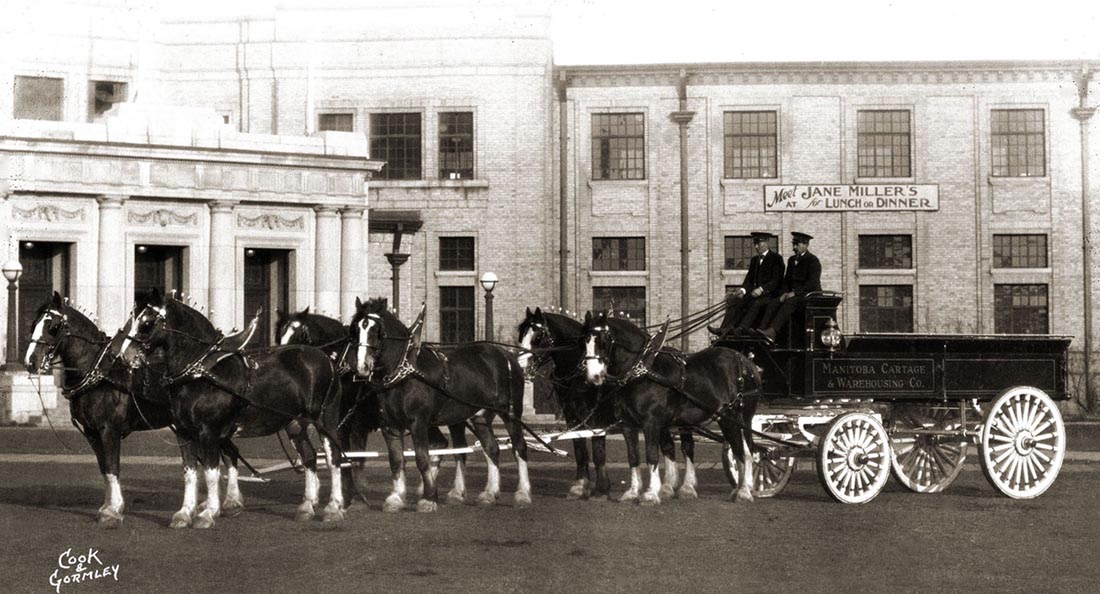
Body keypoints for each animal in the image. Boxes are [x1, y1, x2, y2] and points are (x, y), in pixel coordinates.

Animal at [118, 290, 345, 525]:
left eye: (147, 322)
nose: (125, 355)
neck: (201, 373)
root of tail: (324, 357)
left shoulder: (209, 432)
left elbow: (211, 472)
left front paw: (208, 512)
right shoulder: (184, 432)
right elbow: (190, 473)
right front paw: (185, 512)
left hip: (325, 418)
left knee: (333, 458)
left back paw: (333, 507)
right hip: (294, 423)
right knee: (309, 457)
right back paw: (307, 506)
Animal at [347, 299, 528, 512]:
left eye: (377, 331)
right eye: (355, 330)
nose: (362, 367)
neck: (405, 373)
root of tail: (507, 355)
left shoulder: (418, 423)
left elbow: (422, 458)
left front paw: (428, 498)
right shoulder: (389, 425)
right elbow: (396, 460)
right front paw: (396, 498)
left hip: (510, 412)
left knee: (519, 446)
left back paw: (523, 494)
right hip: (480, 416)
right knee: (491, 448)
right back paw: (489, 494)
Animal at [580, 312, 761, 503]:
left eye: (604, 339)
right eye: (585, 340)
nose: (593, 376)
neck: (643, 370)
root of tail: (746, 361)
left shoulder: (651, 422)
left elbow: (652, 455)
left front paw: (651, 493)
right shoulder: (628, 425)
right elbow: (634, 457)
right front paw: (633, 492)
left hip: (734, 418)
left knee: (742, 451)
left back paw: (744, 491)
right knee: (744, 448)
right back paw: (741, 488)